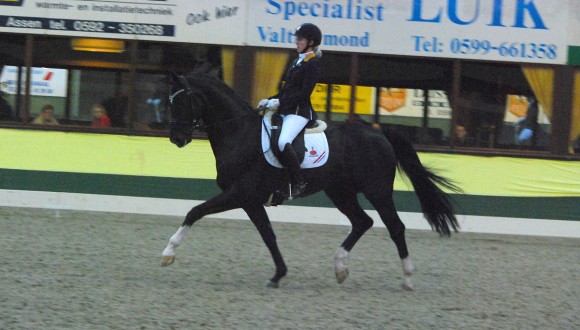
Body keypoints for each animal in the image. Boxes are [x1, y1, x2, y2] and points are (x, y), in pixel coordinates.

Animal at [161, 73, 460, 288]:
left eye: (181, 102)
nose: (177, 139)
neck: (239, 133)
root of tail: (379, 133)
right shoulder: (250, 200)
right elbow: (268, 234)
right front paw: (278, 275)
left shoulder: (240, 193)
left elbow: (195, 211)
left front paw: (168, 252)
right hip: (340, 192)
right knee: (362, 222)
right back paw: (340, 268)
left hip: (378, 191)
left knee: (395, 227)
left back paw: (407, 278)